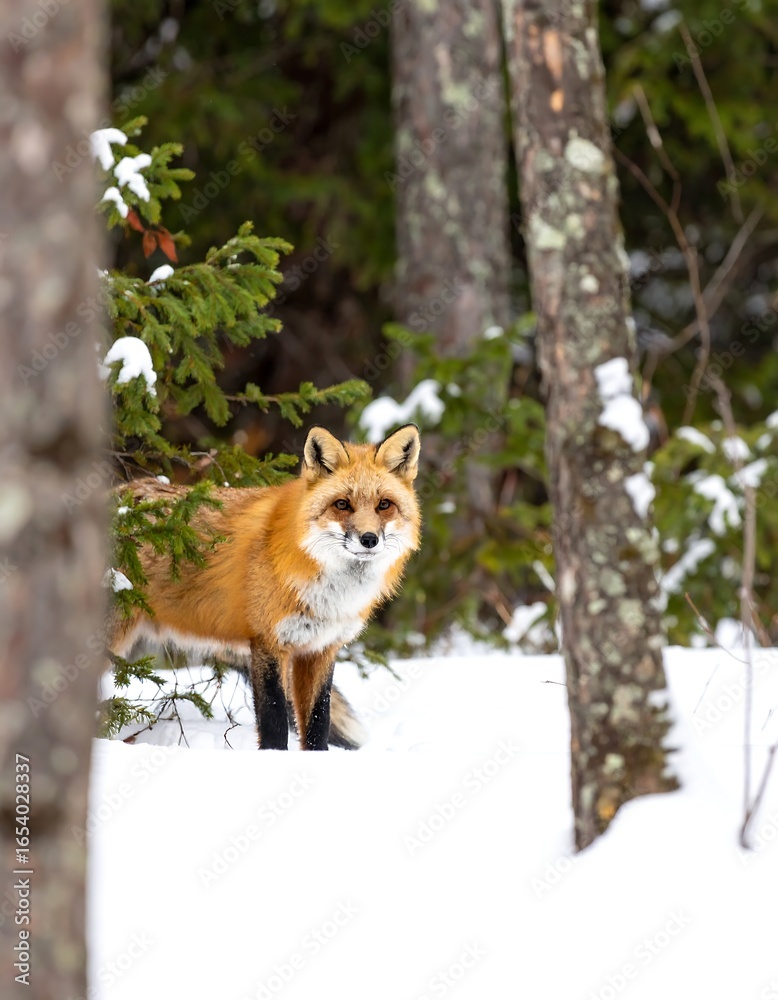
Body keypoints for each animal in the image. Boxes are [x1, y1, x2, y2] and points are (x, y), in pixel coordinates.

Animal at [107, 424, 421, 750]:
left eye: (384, 505)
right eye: (342, 505)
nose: (369, 539)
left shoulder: (321, 649)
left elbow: (318, 722)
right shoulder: (268, 642)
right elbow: (274, 720)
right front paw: (273, 758)